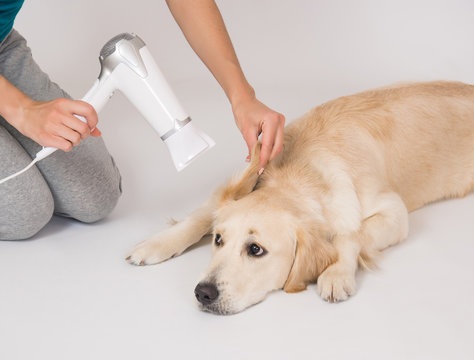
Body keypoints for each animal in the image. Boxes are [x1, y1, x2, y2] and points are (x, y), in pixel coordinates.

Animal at [126, 80, 474, 314]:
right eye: (218, 240)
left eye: (256, 249)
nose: (203, 293)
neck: (300, 172)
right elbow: (201, 214)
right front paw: (156, 244)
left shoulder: (394, 211)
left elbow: (352, 234)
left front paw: (336, 272)